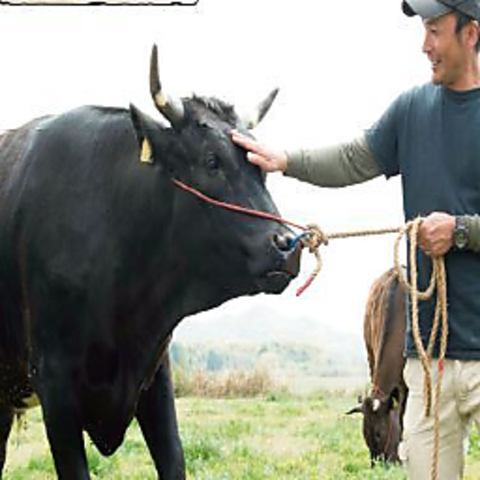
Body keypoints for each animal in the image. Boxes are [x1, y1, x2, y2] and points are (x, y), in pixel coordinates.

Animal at [0, 46, 300, 480]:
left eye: (262, 169)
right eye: (211, 161)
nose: (287, 245)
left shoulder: (155, 371)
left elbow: (173, 459)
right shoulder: (52, 378)